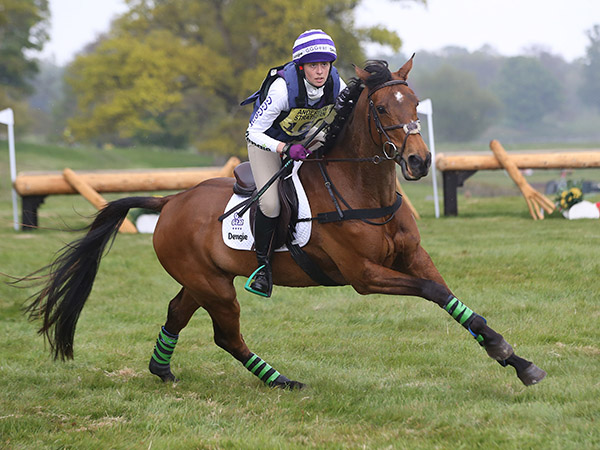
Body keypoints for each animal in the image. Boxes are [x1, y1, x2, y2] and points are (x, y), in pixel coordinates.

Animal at [24, 59, 548, 390]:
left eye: (415, 102)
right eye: (382, 108)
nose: (419, 162)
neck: (364, 190)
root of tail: (171, 200)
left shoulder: (414, 258)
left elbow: (454, 301)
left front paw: (516, 360)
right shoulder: (365, 276)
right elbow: (433, 292)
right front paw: (508, 353)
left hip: (205, 279)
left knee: (177, 312)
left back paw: (162, 371)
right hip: (216, 287)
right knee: (226, 335)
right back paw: (281, 380)